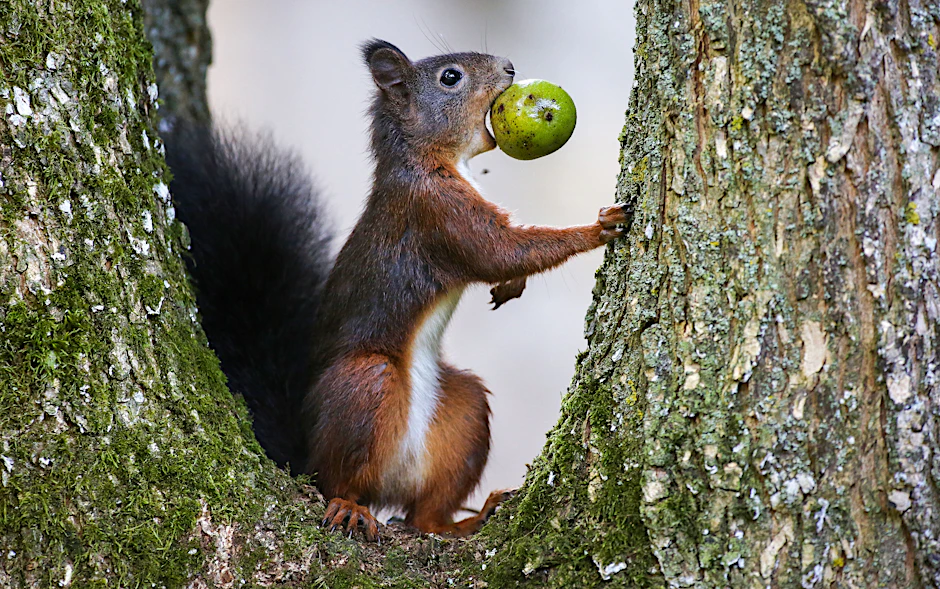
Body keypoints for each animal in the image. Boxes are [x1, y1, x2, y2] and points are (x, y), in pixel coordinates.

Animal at [164, 39, 630, 540]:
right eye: (450, 78)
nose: (508, 67)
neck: (431, 159)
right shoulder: (437, 210)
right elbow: (500, 250)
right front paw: (597, 227)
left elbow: (508, 257)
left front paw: (514, 283)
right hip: (363, 385)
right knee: (339, 479)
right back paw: (349, 506)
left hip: (463, 413)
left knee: (425, 516)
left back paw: (470, 520)